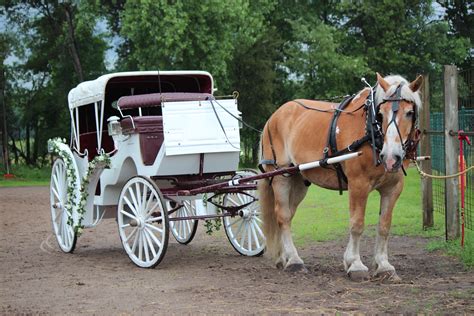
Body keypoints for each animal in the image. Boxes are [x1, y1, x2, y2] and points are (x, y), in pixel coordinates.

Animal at [260, 74, 422, 282]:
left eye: (409, 113)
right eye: (381, 114)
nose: (391, 157)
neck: (371, 131)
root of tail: (275, 116)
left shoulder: (393, 187)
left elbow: (384, 226)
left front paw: (384, 265)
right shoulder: (358, 184)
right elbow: (357, 224)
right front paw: (355, 264)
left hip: (298, 181)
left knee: (288, 214)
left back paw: (284, 257)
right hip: (281, 176)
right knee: (283, 216)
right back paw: (295, 261)